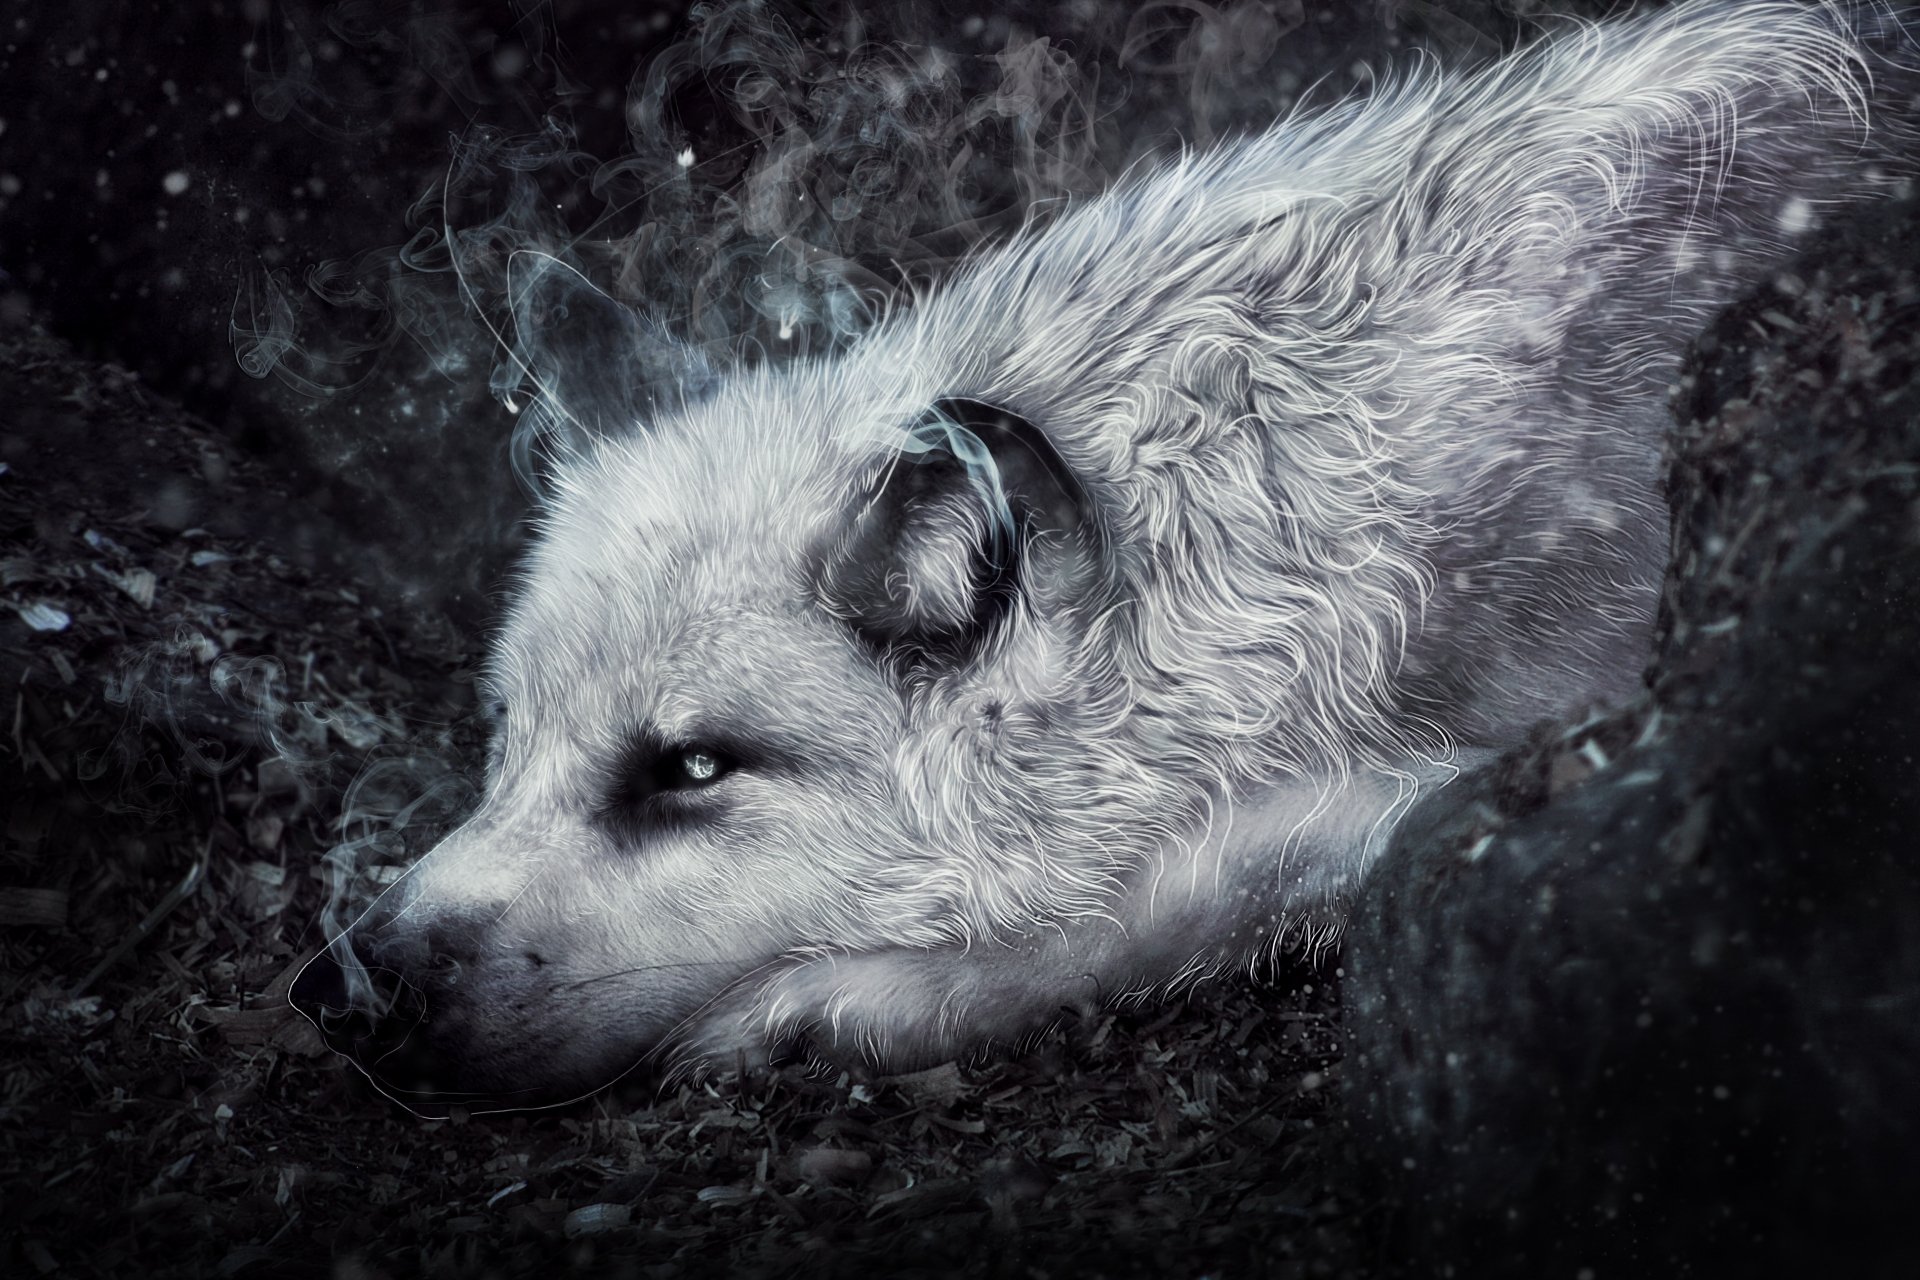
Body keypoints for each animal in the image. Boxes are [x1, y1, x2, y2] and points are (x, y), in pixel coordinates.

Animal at [291, 0, 1915, 1110]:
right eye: (505, 745)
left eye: (689, 769)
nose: (336, 985)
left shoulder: (1558, 720)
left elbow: (1171, 895)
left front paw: (814, 1008)